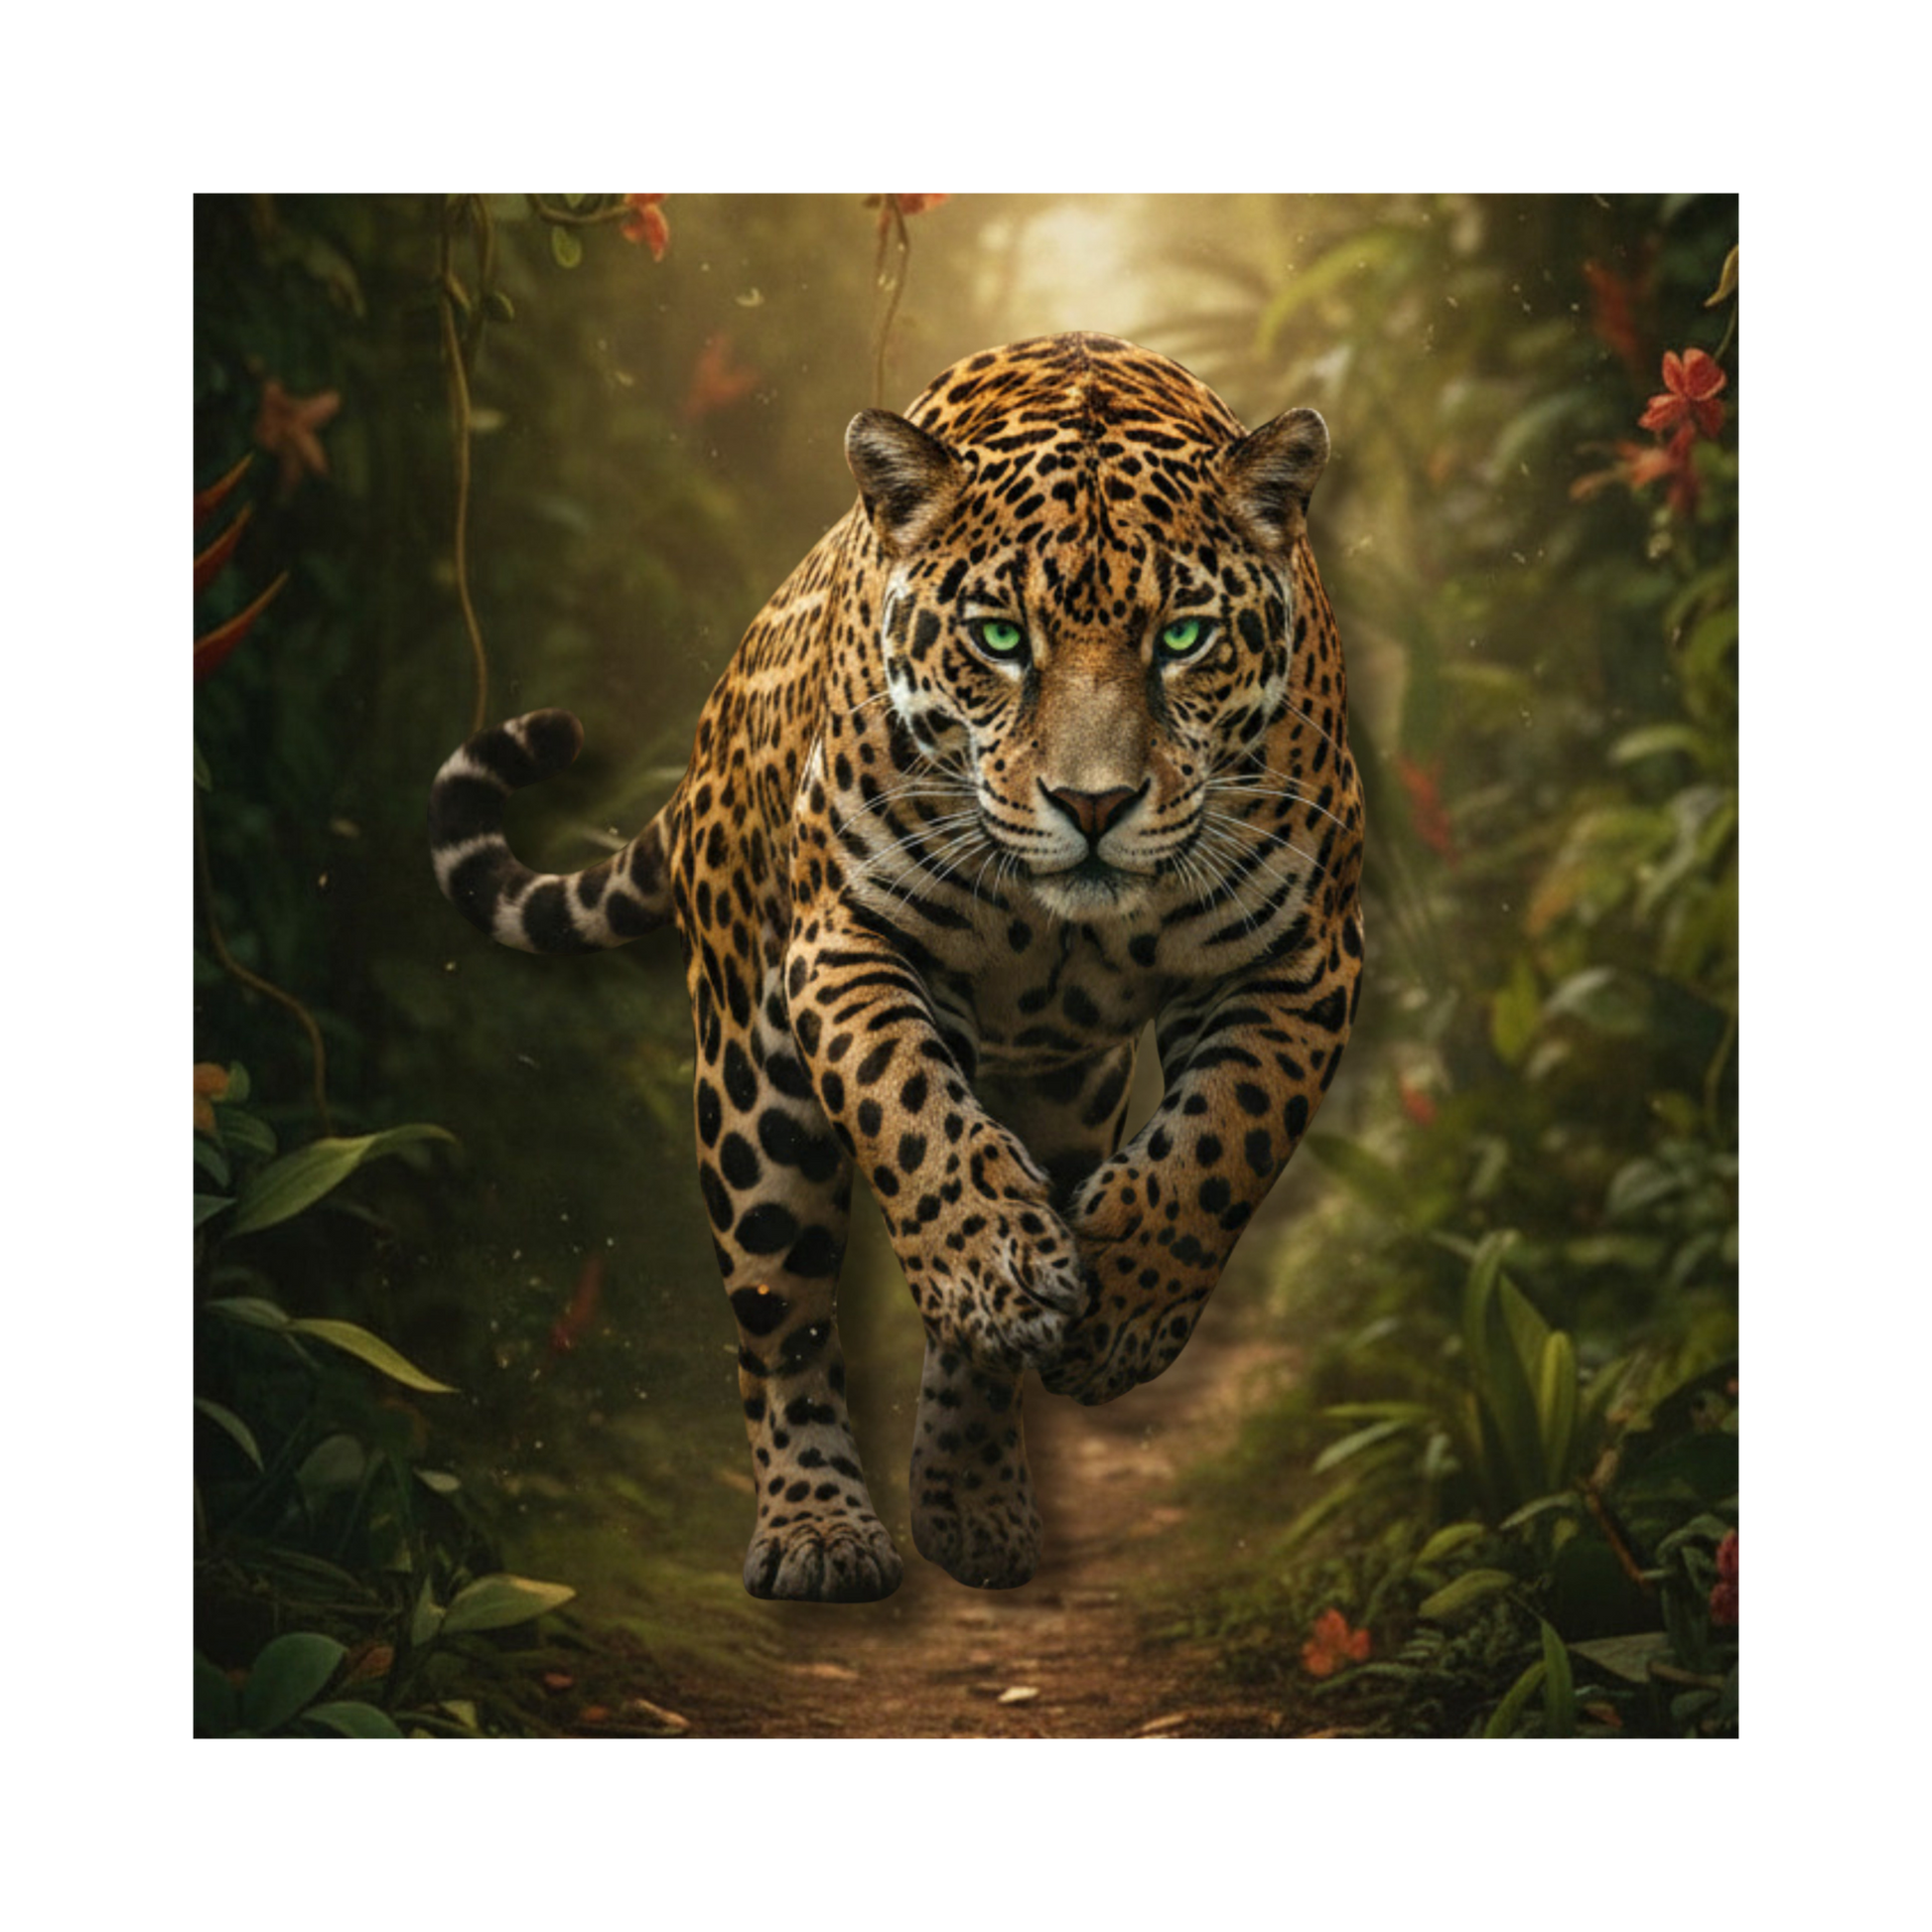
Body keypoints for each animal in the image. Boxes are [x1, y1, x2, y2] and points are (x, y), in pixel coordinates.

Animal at [430, 332, 1364, 1603]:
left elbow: (1222, 1140)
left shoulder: (1302, 952)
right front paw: (995, 1266)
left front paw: (1118, 1307)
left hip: (1063, 1091)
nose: (1092, 805)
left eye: (1182, 638)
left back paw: (973, 1501)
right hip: (751, 1083)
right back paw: (820, 1526)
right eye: (999, 637)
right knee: (779, 1316)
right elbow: (911, 1110)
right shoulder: (849, 939)